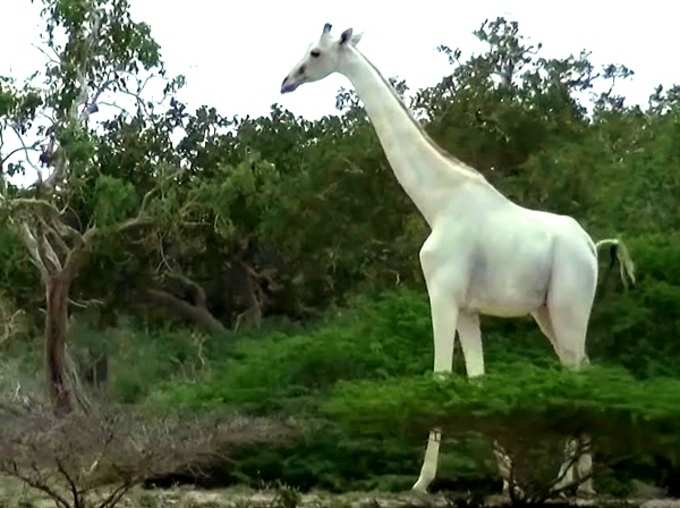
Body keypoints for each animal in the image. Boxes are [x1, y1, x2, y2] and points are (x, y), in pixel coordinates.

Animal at [278, 24, 636, 496]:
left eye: (315, 53)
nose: (287, 81)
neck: (438, 202)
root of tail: (592, 246)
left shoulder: (442, 294)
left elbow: (441, 376)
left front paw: (421, 481)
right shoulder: (468, 308)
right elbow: (478, 381)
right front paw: (506, 482)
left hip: (568, 305)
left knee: (577, 371)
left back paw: (571, 483)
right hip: (546, 311)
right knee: (578, 368)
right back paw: (575, 482)